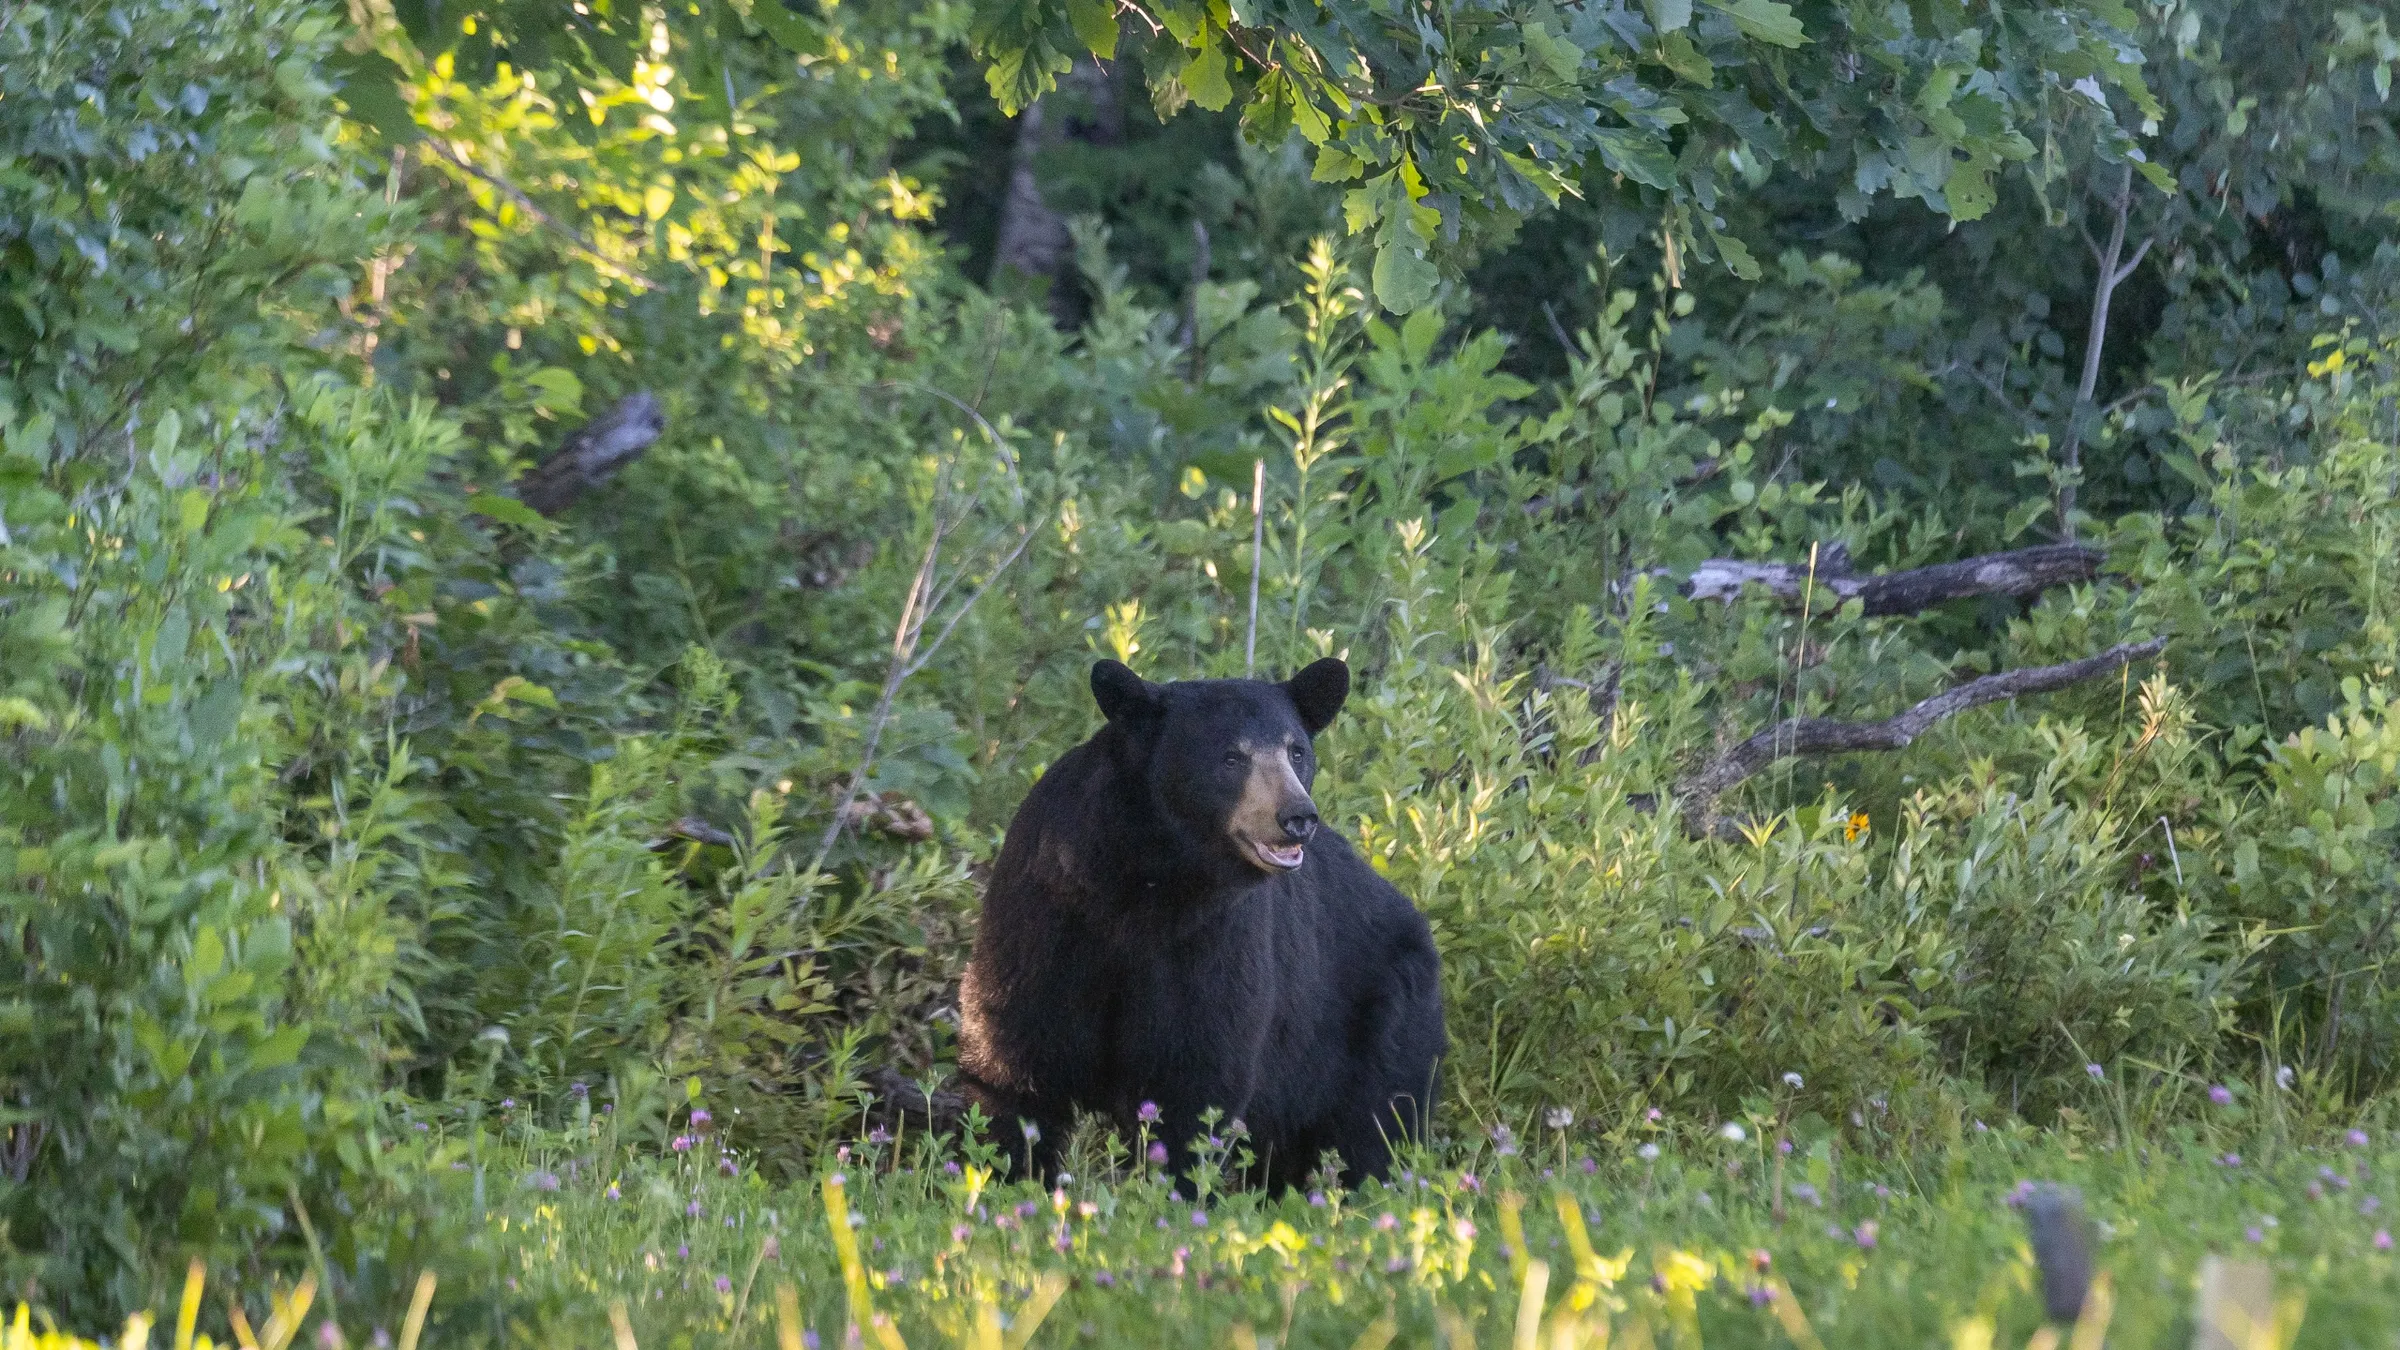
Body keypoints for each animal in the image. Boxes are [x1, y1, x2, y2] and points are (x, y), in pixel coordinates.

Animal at [956, 656, 1446, 1190]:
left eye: (1296, 751)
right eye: (1231, 758)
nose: (1297, 817)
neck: (1144, 884)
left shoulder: (1214, 942)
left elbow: (1195, 1083)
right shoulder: (1045, 917)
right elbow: (1017, 1064)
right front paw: (1008, 1176)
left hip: (1385, 1023)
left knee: (1380, 1129)